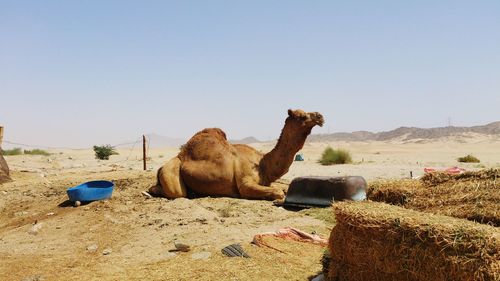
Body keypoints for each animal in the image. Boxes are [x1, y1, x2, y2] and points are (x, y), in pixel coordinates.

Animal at [148, 109, 324, 199]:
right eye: (302, 116)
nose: (320, 116)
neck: (262, 163)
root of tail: (163, 166)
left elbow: (282, 189)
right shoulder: (245, 184)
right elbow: (279, 193)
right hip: (171, 173)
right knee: (176, 193)